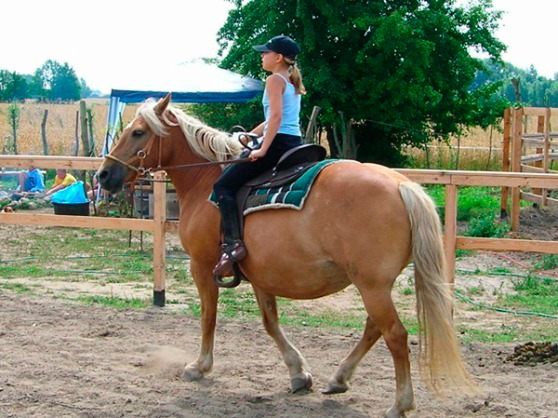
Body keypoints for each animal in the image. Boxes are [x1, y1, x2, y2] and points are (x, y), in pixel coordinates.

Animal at [97, 94, 476, 418]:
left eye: (138, 132)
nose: (104, 174)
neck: (206, 180)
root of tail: (402, 185)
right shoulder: (261, 274)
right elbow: (270, 322)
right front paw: (298, 373)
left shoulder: (202, 266)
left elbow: (208, 316)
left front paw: (200, 365)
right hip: (375, 285)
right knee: (374, 328)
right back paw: (338, 379)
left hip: (372, 285)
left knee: (395, 334)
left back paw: (400, 403)